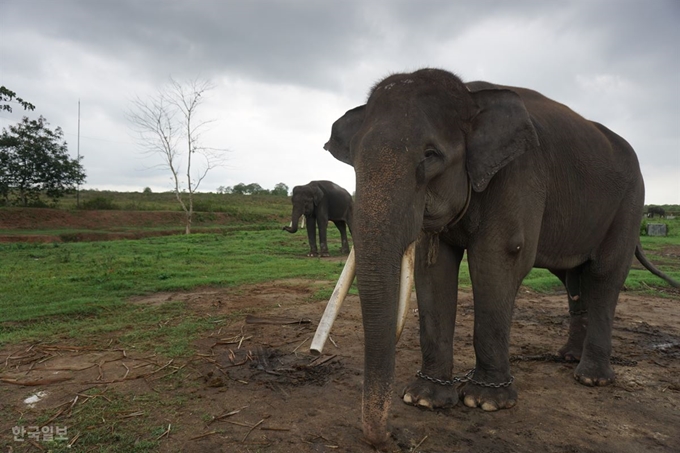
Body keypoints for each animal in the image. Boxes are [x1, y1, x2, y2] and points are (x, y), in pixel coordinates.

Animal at [314, 69, 680, 446]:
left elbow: (498, 258)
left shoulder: (519, 174)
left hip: (630, 202)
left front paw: (485, 402)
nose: (386, 435)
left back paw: (592, 378)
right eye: (355, 159)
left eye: (431, 155)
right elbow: (433, 269)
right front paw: (425, 399)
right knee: (572, 279)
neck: (470, 97)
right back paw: (568, 357)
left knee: (605, 274)